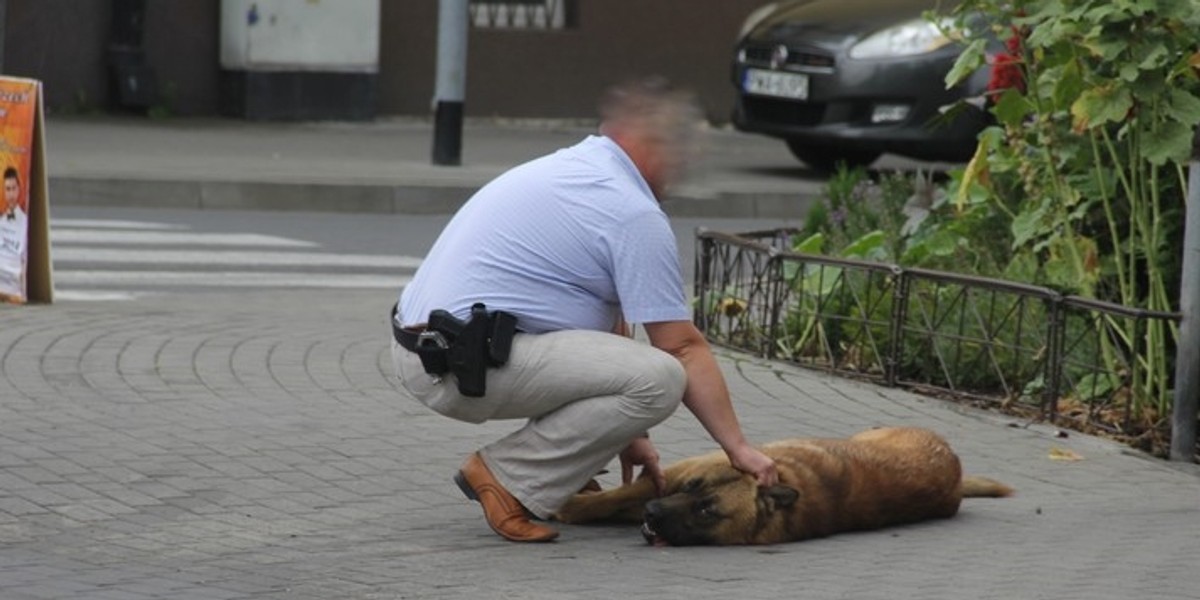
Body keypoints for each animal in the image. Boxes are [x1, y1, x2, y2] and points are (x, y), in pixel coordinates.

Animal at [552, 424, 1012, 547]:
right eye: (693, 487)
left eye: (707, 510)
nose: (653, 515)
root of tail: (953, 467)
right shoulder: (673, 476)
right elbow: (624, 493)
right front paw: (578, 504)